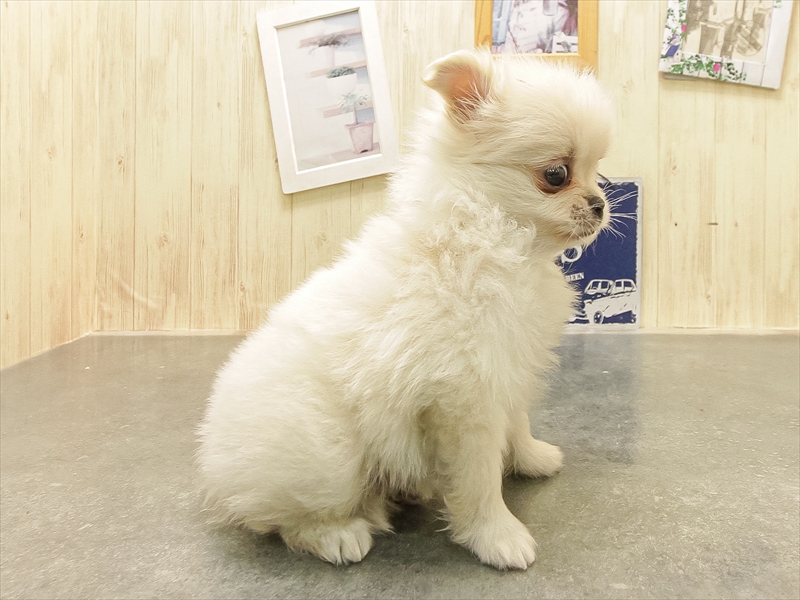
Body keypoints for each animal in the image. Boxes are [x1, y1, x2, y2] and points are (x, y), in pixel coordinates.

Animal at [197, 49, 613, 570]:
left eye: (599, 171)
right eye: (556, 175)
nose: (600, 204)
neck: (490, 231)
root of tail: (215, 458)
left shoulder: (506, 368)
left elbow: (516, 421)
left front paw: (531, 458)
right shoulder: (464, 397)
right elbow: (479, 478)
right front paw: (498, 536)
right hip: (326, 453)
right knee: (283, 517)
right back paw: (339, 533)